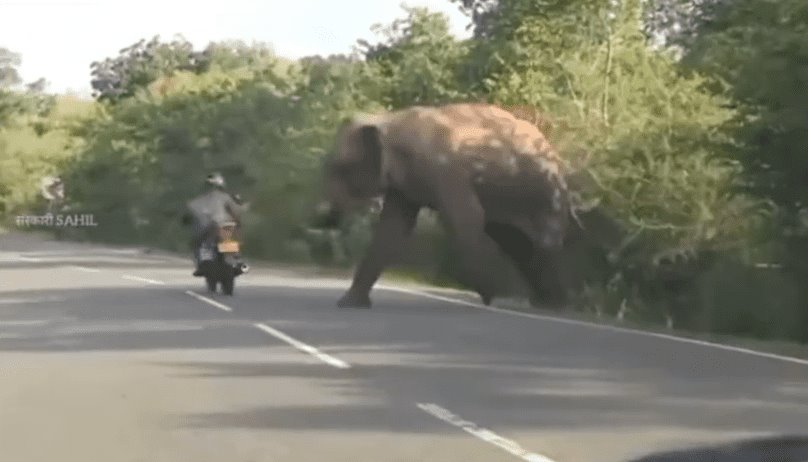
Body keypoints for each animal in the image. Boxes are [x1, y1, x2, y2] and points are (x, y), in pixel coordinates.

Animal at [312, 103, 576, 308]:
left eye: (341, 168)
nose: (325, 216)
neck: (390, 120)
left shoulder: (445, 169)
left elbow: (467, 221)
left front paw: (494, 298)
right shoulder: (405, 185)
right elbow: (392, 229)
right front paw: (348, 304)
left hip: (547, 191)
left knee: (540, 244)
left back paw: (546, 304)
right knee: (519, 244)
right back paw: (544, 302)